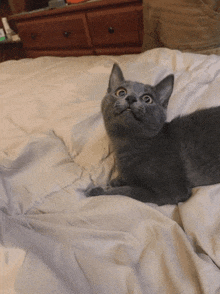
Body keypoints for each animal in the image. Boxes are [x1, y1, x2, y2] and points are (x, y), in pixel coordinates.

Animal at [86, 62, 220, 204]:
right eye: (120, 92)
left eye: (147, 99)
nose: (131, 98)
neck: (127, 143)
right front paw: (117, 180)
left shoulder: (172, 190)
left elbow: (128, 192)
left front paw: (99, 191)